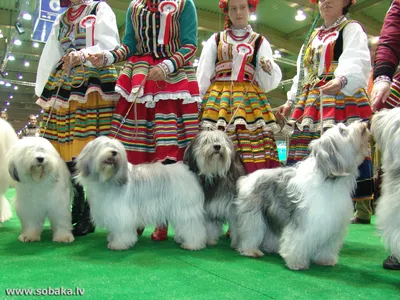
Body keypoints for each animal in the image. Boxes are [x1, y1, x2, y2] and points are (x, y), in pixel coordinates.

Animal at [75, 136, 208, 251]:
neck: (108, 179)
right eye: (104, 145)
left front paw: (118, 244)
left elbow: (121, 229)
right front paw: (111, 238)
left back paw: (192, 244)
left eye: (116, 148)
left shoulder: (121, 212)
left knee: (193, 226)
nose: (114, 152)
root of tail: (188, 170)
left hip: (185, 208)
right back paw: (181, 239)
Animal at [234, 120, 368, 270]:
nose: (363, 124)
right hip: (253, 215)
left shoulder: (331, 224)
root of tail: (247, 178)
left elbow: (327, 246)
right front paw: (296, 263)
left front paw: (325, 260)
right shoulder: (306, 221)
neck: (329, 179)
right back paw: (251, 250)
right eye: (342, 131)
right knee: (251, 232)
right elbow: (298, 242)